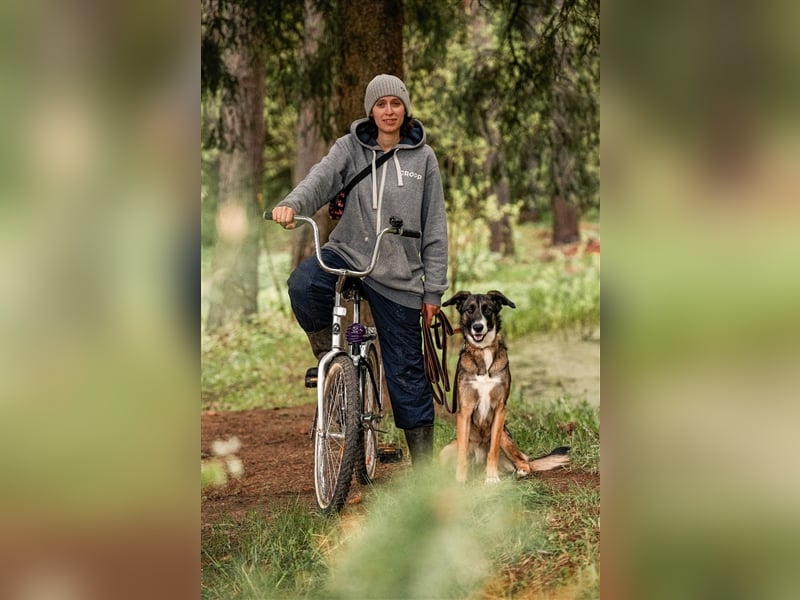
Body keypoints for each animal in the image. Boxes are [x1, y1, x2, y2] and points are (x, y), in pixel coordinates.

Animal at [439, 290, 569, 483]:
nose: (478, 327)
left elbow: (492, 451)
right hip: (446, 449)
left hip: (505, 437)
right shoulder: (465, 411)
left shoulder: (500, 410)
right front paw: (460, 480)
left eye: (488, 310)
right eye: (469, 310)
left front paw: (492, 478)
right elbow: (462, 454)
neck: (483, 351)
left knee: (524, 460)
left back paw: (520, 471)